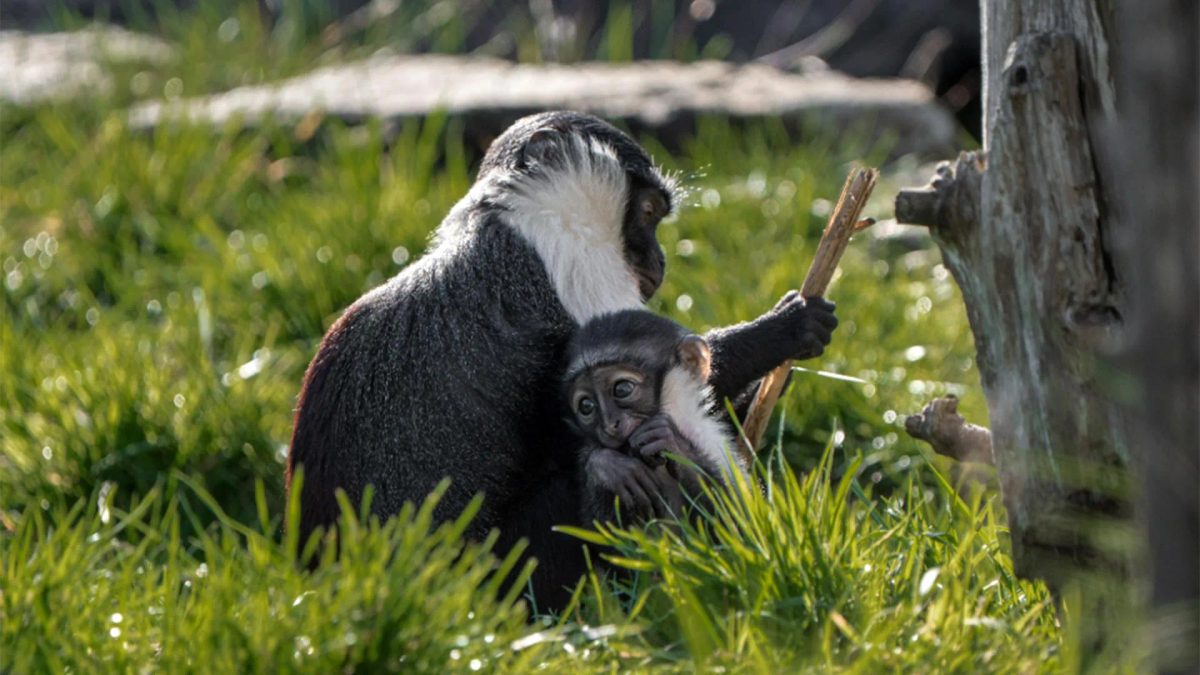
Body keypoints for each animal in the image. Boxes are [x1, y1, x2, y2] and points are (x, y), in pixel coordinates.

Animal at [562, 309, 746, 527]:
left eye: (622, 389)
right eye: (586, 406)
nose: (609, 425)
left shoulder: (711, 440)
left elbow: (738, 525)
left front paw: (674, 445)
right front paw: (606, 467)